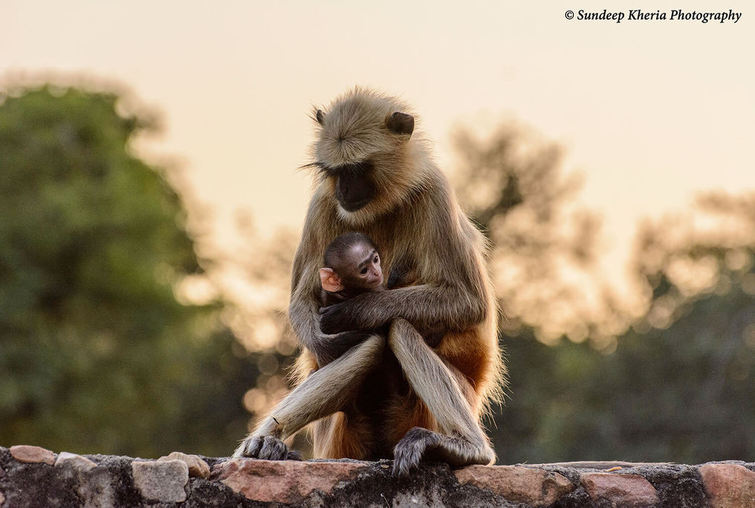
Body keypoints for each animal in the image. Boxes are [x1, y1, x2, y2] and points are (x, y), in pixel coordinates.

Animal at [233, 88, 504, 476]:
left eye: (358, 169)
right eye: (336, 172)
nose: (345, 190)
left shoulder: (435, 192)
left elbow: (468, 302)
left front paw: (357, 309)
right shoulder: (323, 202)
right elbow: (303, 302)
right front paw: (325, 337)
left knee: (397, 327)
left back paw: (466, 448)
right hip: (337, 432)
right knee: (371, 342)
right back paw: (267, 440)